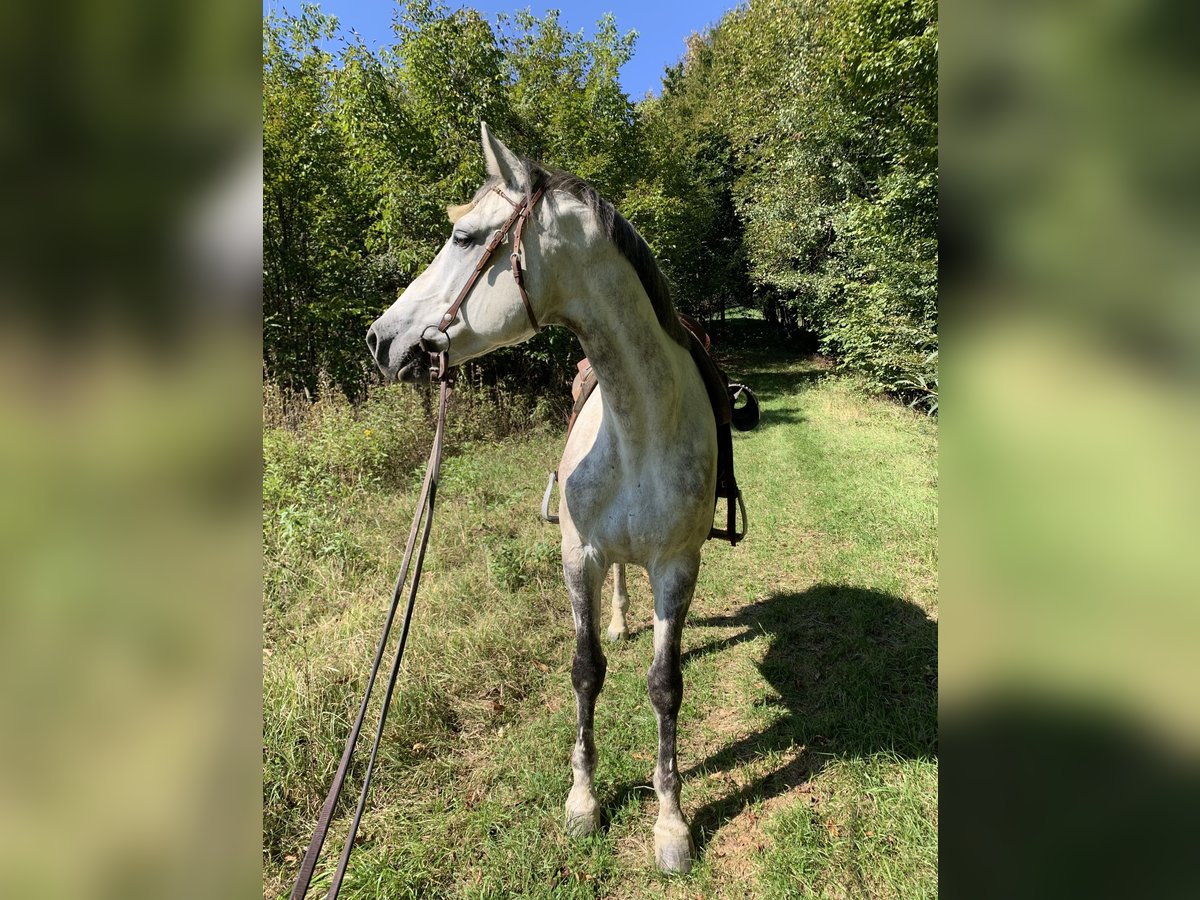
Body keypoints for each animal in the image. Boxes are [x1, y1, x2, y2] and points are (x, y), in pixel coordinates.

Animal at [364, 123, 715, 868]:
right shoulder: (579, 557)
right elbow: (586, 670)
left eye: (464, 236)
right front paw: (583, 801)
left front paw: (670, 821)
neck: (639, 427)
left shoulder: (677, 567)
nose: (380, 340)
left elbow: (665, 686)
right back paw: (619, 619)